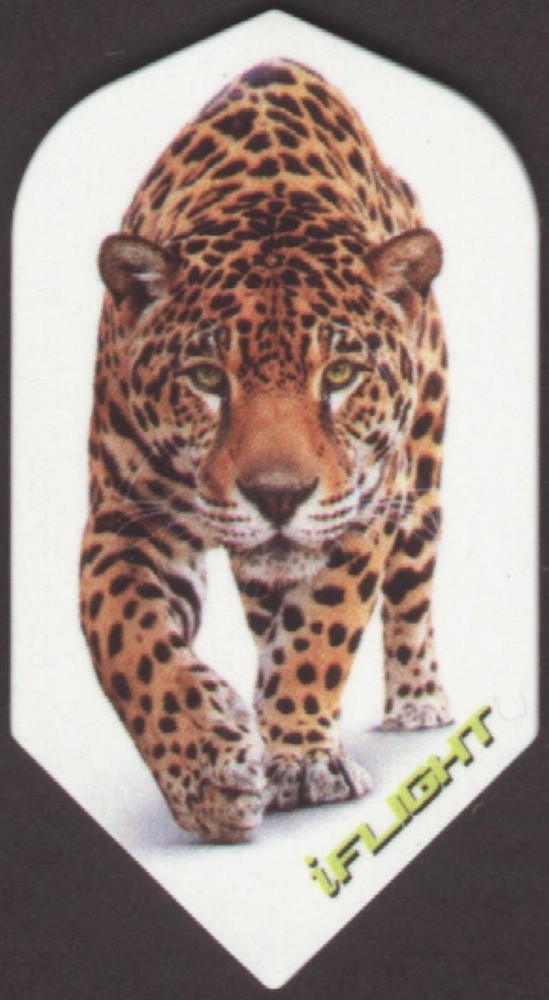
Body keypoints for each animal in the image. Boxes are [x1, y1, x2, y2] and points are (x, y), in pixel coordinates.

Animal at [79, 58, 452, 844]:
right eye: (206, 379)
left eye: (338, 376)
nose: (277, 495)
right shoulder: (124, 516)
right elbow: (124, 638)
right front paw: (208, 772)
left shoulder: (362, 508)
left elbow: (322, 628)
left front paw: (302, 760)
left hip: (421, 483)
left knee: (409, 591)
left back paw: (416, 702)